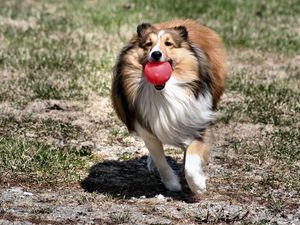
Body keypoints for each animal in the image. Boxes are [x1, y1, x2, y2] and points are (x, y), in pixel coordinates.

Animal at [111, 19, 226, 195]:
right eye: (148, 44)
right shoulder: (147, 129)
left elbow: (191, 160)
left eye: (169, 43)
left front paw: (198, 185)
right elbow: (160, 160)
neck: (164, 93)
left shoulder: (198, 122)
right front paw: (172, 184)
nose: (156, 54)